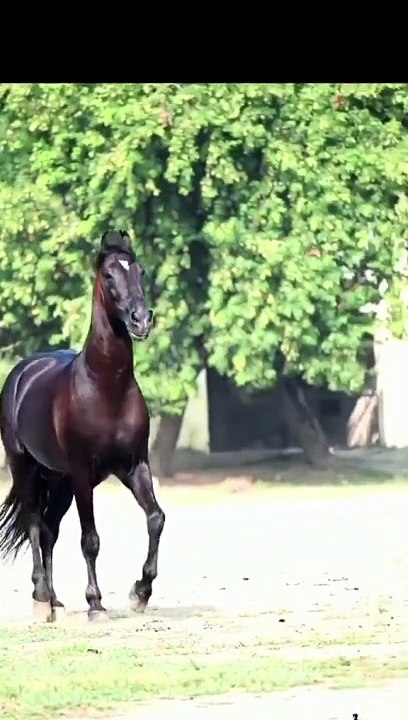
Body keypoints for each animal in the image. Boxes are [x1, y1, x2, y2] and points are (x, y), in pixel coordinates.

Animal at [0, 229, 165, 621]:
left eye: (139, 270)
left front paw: (141, 592)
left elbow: (155, 518)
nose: (141, 320)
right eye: (108, 274)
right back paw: (41, 599)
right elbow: (90, 539)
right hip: (26, 468)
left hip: (57, 481)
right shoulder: (82, 475)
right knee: (34, 524)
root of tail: (22, 372)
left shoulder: (135, 466)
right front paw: (95, 604)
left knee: (48, 530)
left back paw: (55, 598)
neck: (106, 387)